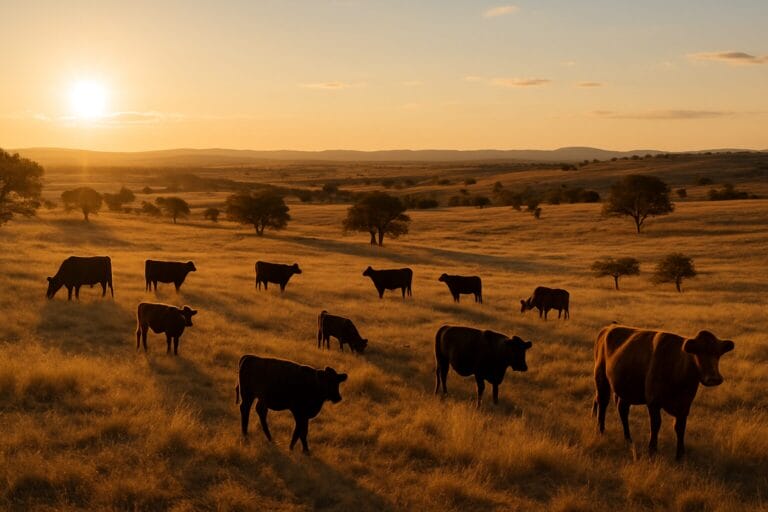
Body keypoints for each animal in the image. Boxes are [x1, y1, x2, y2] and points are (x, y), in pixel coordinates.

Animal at [593, 324, 735, 460]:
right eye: (697, 352)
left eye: (718, 354)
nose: (713, 378)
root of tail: (608, 327)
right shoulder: (653, 402)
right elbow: (655, 425)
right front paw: (652, 451)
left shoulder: (685, 405)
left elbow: (680, 427)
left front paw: (680, 455)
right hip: (601, 378)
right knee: (602, 403)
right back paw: (601, 431)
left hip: (625, 389)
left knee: (622, 409)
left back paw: (628, 438)